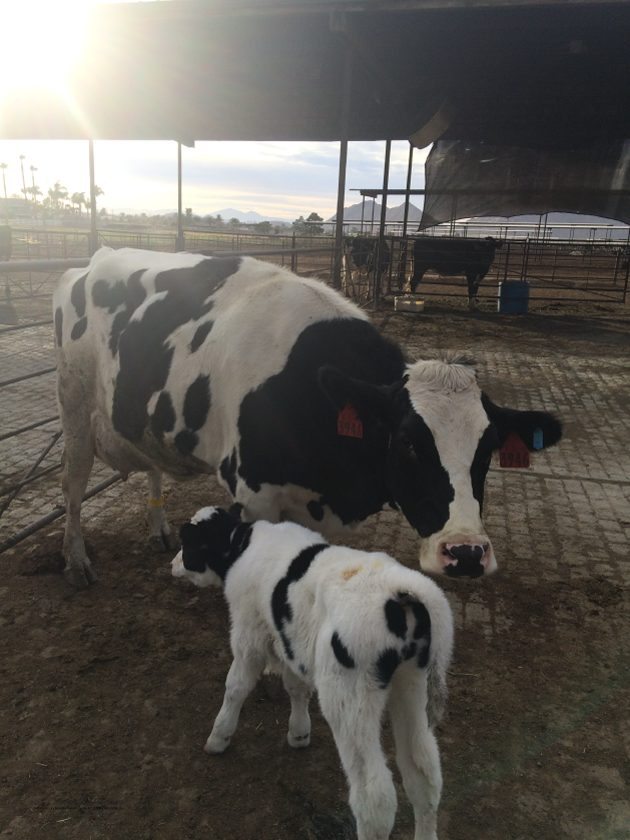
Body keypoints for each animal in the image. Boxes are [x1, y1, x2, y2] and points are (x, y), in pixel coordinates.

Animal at [54, 246, 564, 588]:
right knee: (73, 486)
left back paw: (158, 528)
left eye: (488, 447)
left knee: (151, 466)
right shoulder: (254, 496)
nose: (466, 552)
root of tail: (96, 258)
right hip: (74, 406)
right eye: (408, 442)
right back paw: (75, 560)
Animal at [172, 506, 454, 840]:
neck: (241, 546)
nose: (173, 563)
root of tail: (401, 589)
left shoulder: (248, 632)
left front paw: (219, 736)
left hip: (348, 699)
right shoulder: (291, 640)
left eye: (187, 541)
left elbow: (236, 686)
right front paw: (298, 732)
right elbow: (295, 686)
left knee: (375, 797)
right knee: (424, 772)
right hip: (411, 685)